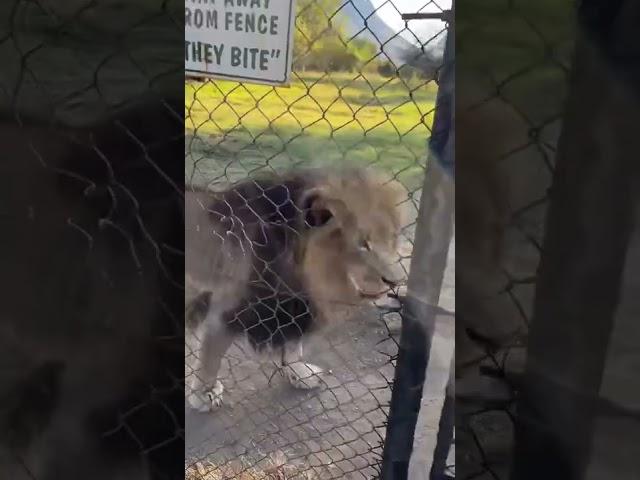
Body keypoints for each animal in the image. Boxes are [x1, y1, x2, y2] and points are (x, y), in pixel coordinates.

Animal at [182, 167, 408, 410]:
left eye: (393, 238)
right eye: (363, 244)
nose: (396, 281)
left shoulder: (295, 306)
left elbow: (293, 347)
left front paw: (300, 374)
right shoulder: (229, 309)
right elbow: (211, 357)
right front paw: (203, 394)